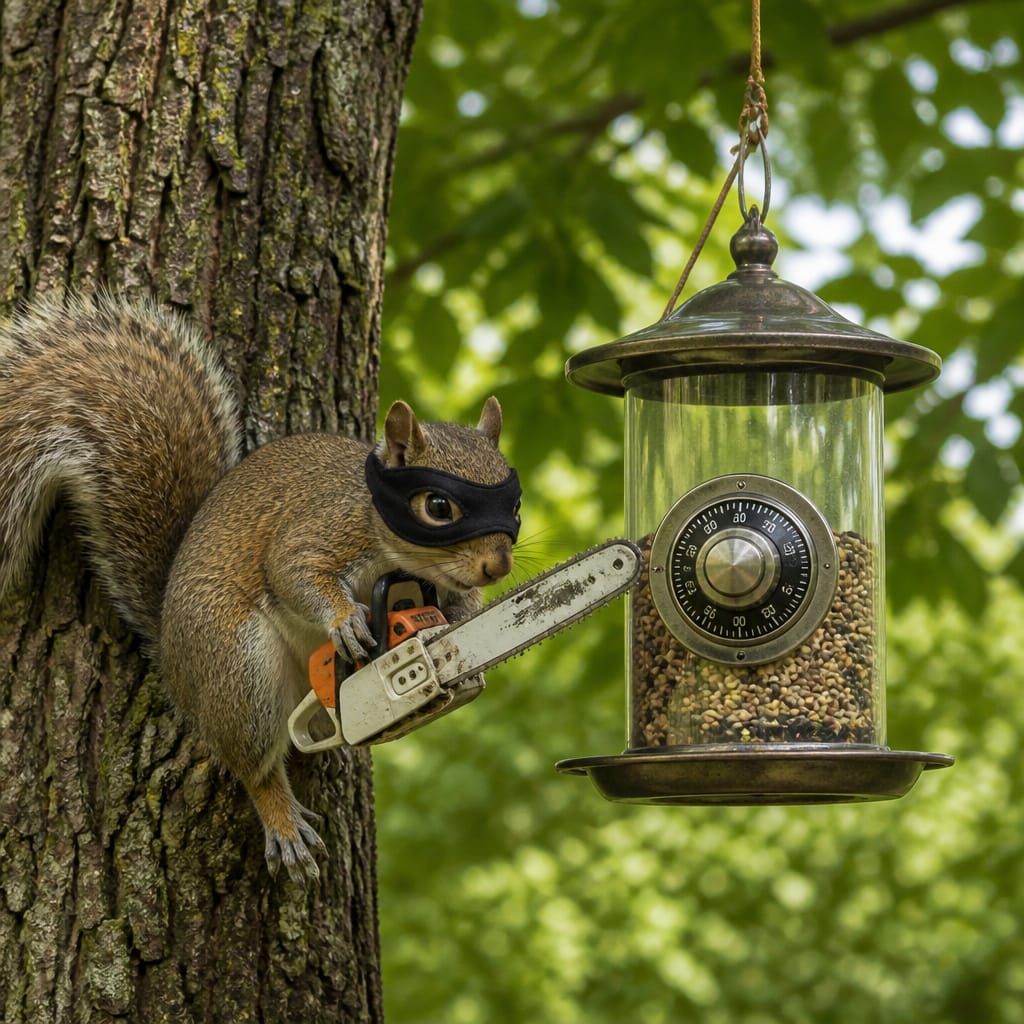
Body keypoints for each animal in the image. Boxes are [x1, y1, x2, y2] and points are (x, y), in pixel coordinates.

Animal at [0, 294, 520, 883]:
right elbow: (294, 573)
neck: (387, 538)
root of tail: (173, 654)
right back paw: (285, 823)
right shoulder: (318, 530)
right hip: (237, 667)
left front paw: (455, 633)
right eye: (438, 506)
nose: (498, 566)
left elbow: (456, 608)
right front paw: (347, 621)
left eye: (514, 503)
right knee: (253, 765)